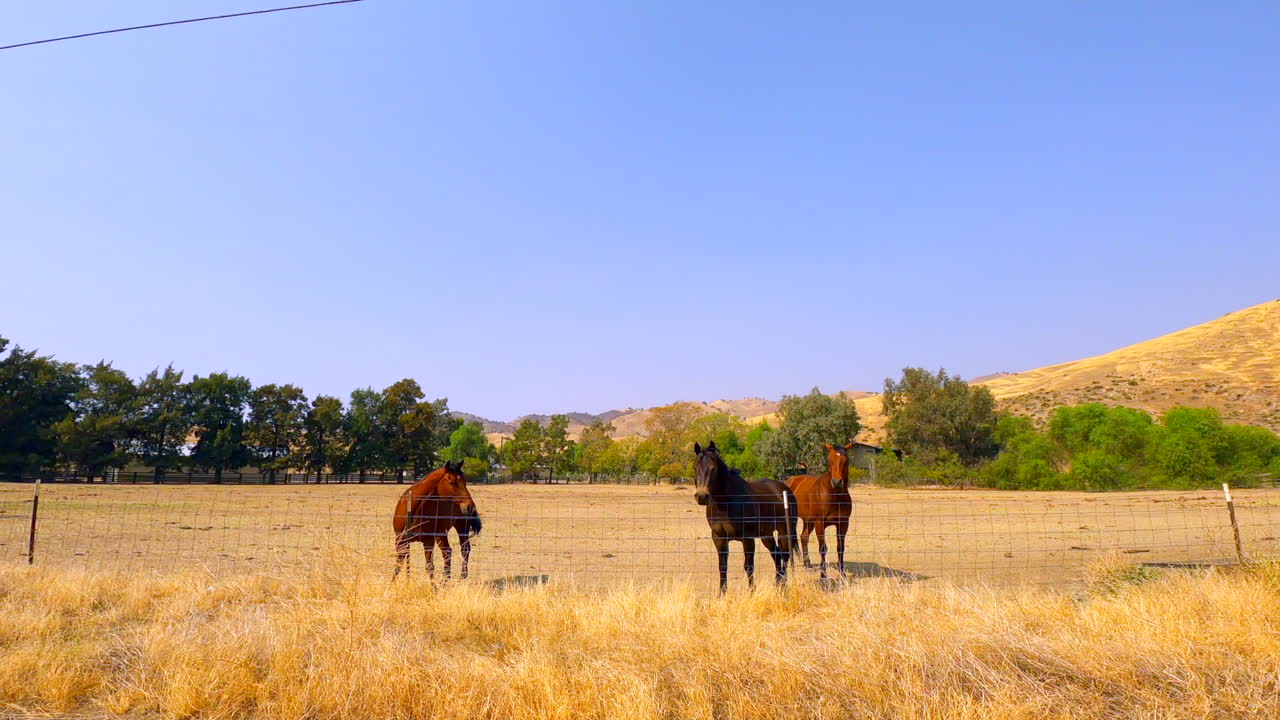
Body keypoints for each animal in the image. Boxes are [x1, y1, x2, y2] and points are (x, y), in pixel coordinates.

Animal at [693, 441, 798, 593]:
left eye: (713, 468)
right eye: (695, 468)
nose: (702, 496)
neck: (725, 503)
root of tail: (785, 489)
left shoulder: (747, 538)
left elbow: (748, 566)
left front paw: (752, 592)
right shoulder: (719, 538)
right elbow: (722, 566)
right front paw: (722, 593)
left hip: (784, 531)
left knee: (785, 555)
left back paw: (783, 585)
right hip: (766, 535)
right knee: (777, 555)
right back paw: (777, 584)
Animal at [786, 442, 853, 579]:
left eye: (846, 460)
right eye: (829, 460)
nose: (837, 482)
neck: (834, 496)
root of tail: (789, 481)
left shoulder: (843, 524)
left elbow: (840, 547)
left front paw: (842, 573)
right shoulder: (820, 523)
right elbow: (822, 548)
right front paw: (823, 576)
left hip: (808, 521)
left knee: (804, 537)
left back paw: (807, 564)